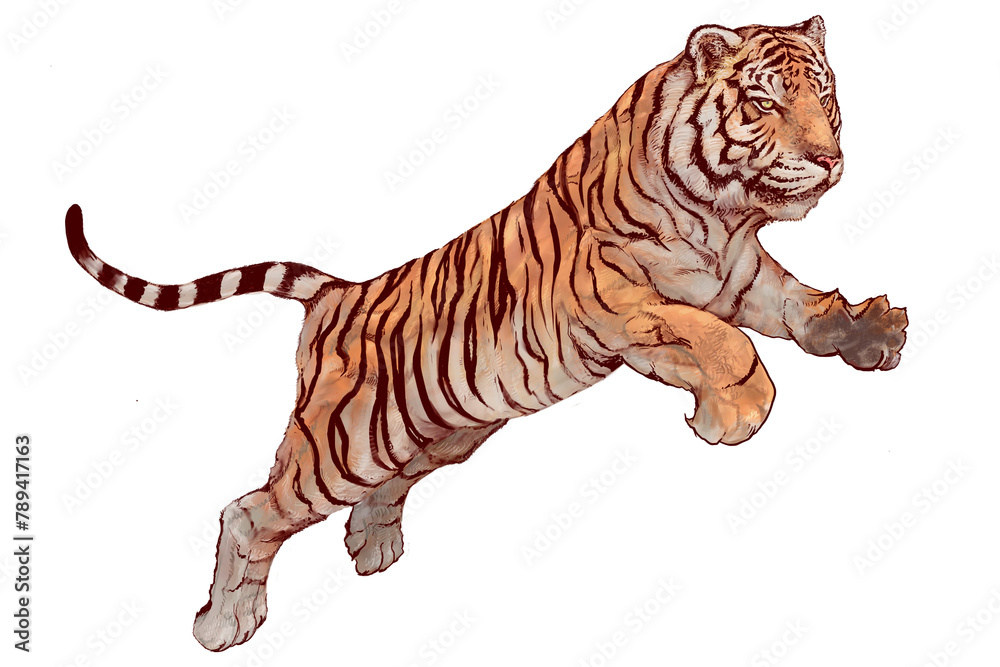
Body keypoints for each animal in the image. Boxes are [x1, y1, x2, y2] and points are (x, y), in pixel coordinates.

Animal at [65, 15, 906, 651]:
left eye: (826, 95)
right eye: (764, 103)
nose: (828, 158)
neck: (722, 215)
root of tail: (336, 292)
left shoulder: (740, 276)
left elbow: (799, 306)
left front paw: (868, 332)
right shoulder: (612, 294)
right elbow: (723, 341)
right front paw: (734, 414)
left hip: (440, 428)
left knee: (384, 486)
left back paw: (373, 548)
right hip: (343, 443)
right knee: (251, 510)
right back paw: (224, 623)